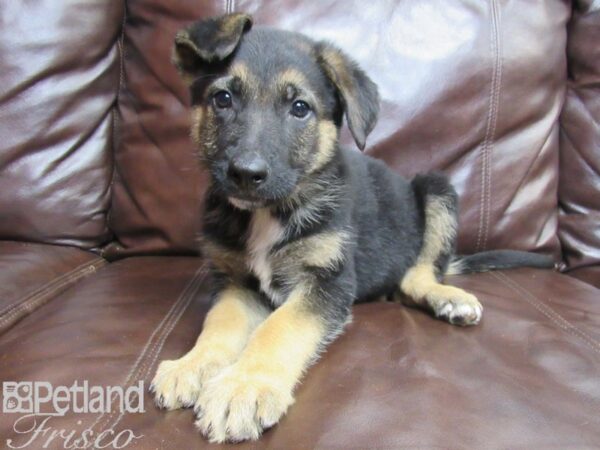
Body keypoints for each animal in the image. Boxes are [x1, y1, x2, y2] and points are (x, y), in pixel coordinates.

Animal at [150, 12, 552, 442]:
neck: (272, 212)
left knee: (418, 273)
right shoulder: (235, 282)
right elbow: (219, 324)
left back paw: (447, 297)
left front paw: (245, 386)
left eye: (300, 108)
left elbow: (279, 327)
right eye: (222, 99)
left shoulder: (328, 282)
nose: (246, 173)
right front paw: (192, 364)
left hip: (436, 188)